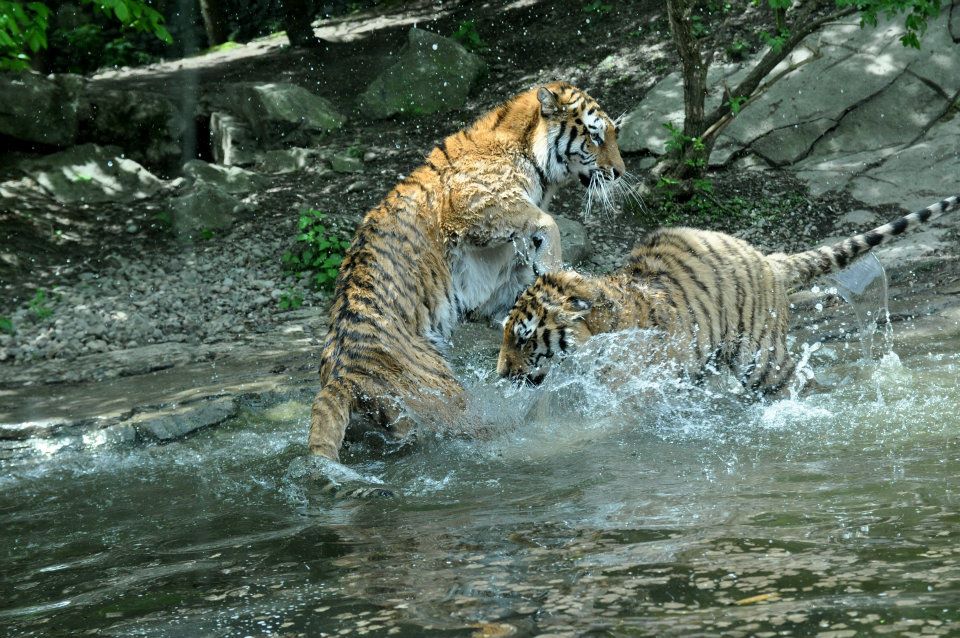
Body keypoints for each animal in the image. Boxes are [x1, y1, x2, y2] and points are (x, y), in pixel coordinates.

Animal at [304, 81, 628, 480]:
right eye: (595, 136)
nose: (619, 172)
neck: (527, 150)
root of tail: (341, 374)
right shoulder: (474, 205)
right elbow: (548, 223)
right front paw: (556, 268)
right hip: (441, 392)